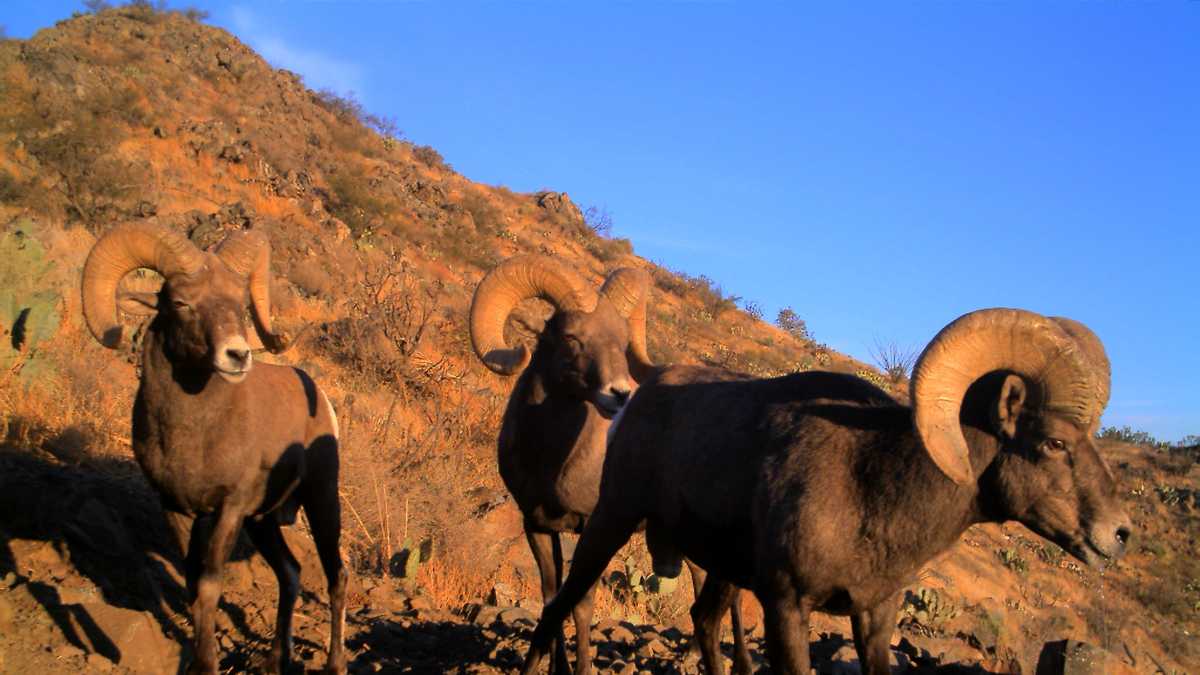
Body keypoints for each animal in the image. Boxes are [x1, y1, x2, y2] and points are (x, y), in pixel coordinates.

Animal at [81, 222, 345, 672]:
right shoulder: (176, 508)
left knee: (336, 577)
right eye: (181, 302)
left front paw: (207, 664)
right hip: (263, 522)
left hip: (320, 502)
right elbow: (191, 584)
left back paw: (334, 665)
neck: (193, 435)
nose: (237, 355)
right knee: (290, 573)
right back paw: (275, 660)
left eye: (240, 304)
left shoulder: (229, 510)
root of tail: (323, 403)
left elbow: (208, 586)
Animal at [470, 255, 744, 672]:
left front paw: (581, 667)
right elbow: (552, 600)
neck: (550, 460)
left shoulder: (591, 527)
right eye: (571, 337)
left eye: (621, 342)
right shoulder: (536, 525)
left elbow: (580, 605)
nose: (619, 394)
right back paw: (689, 656)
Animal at [520, 307, 1128, 667]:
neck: (873, 490)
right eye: (1053, 442)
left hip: (717, 570)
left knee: (705, 622)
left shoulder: (874, 616)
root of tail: (640, 394)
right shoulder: (788, 607)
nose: (1118, 534)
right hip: (611, 523)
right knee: (559, 606)